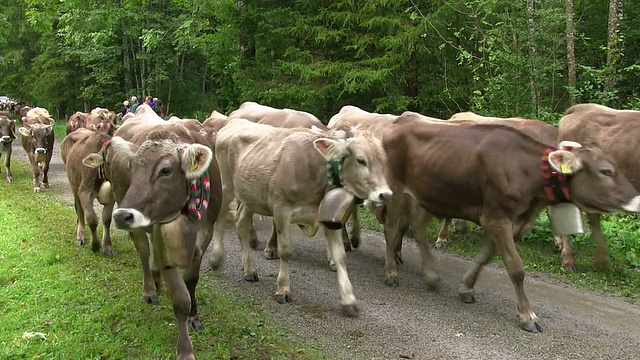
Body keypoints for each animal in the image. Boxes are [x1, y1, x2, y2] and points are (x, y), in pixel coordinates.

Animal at [83, 102, 222, 358]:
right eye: (131, 167)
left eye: (165, 170)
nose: (122, 215)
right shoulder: (162, 238)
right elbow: (179, 298)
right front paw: (185, 349)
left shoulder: (205, 234)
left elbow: (191, 280)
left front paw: (194, 317)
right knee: (144, 252)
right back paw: (150, 289)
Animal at [209, 116, 390, 316]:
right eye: (361, 160)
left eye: (384, 160)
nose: (385, 194)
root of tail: (235, 122)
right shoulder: (281, 210)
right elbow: (285, 251)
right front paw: (283, 289)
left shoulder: (327, 217)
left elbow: (340, 256)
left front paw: (348, 299)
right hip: (226, 186)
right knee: (220, 219)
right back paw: (216, 259)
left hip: (251, 196)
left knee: (241, 223)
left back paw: (249, 269)